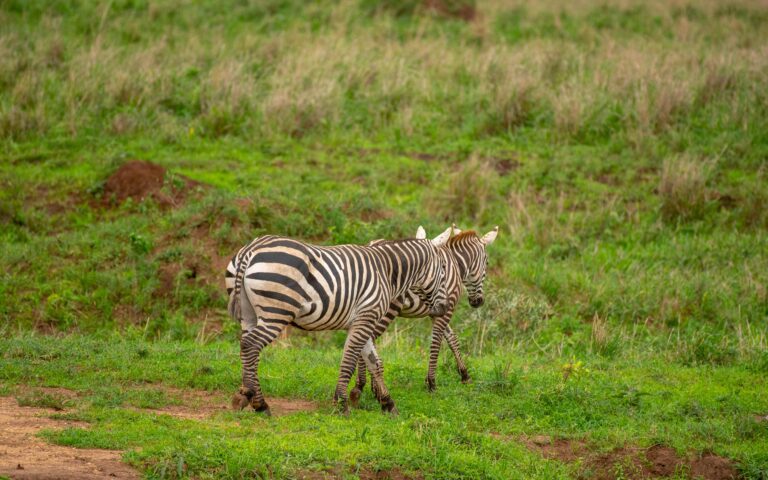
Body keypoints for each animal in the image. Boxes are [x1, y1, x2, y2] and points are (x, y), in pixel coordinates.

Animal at [225, 234, 450, 415]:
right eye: (444, 270)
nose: (444, 308)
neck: (386, 272)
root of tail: (251, 249)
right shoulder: (365, 319)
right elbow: (349, 361)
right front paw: (342, 404)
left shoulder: (363, 321)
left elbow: (375, 363)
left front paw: (388, 403)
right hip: (276, 312)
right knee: (251, 345)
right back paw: (260, 404)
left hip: (249, 315)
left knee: (247, 347)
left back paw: (245, 395)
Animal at [350, 224, 497, 405]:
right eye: (487, 263)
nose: (478, 302)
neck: (456, 265)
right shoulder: (445, 310)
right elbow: (436, 344)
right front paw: (431, 383)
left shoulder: (438, 310)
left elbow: (452, 340)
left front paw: (464, 375)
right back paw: (364, 387)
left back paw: (366, 387)